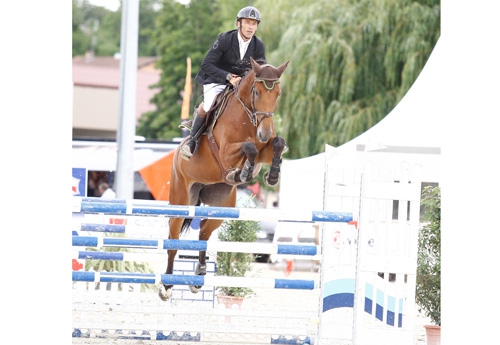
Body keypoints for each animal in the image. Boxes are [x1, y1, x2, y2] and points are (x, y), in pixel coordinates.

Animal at [158, 57, 292, 300]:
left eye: (278, 93)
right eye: (256, 92)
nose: (265, 133)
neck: (249, 117)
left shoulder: (264, 151)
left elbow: (277, 143)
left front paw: (271, 175)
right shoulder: (227, 152)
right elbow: (248, 147)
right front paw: (243, 171)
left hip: (222, 206)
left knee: (203, 231)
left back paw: (199, 275)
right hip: (181, 199)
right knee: (173, 238)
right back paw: (167, 286)